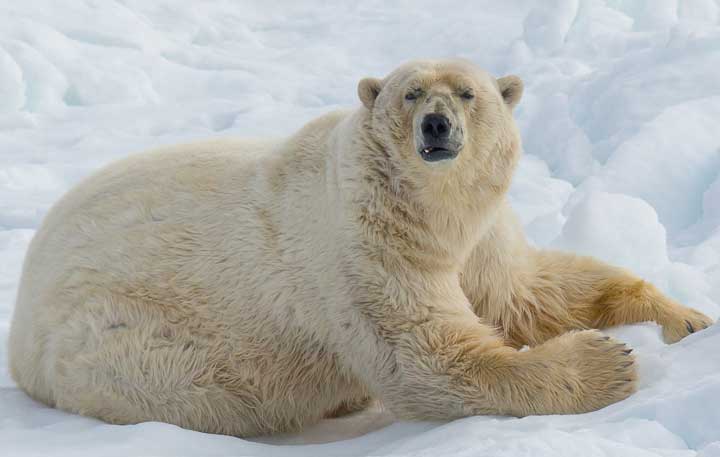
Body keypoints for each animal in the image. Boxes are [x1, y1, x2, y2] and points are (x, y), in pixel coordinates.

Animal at [8, 59, 714, 437]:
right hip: (128, 338)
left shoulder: (480, 236)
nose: (436, 126)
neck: (432, 213)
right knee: (208, 388)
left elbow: (529, 291)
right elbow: (427, 355)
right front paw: (609, 362)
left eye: (469, 93)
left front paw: (684, 317)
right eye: (411, 92)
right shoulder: (363, 243)